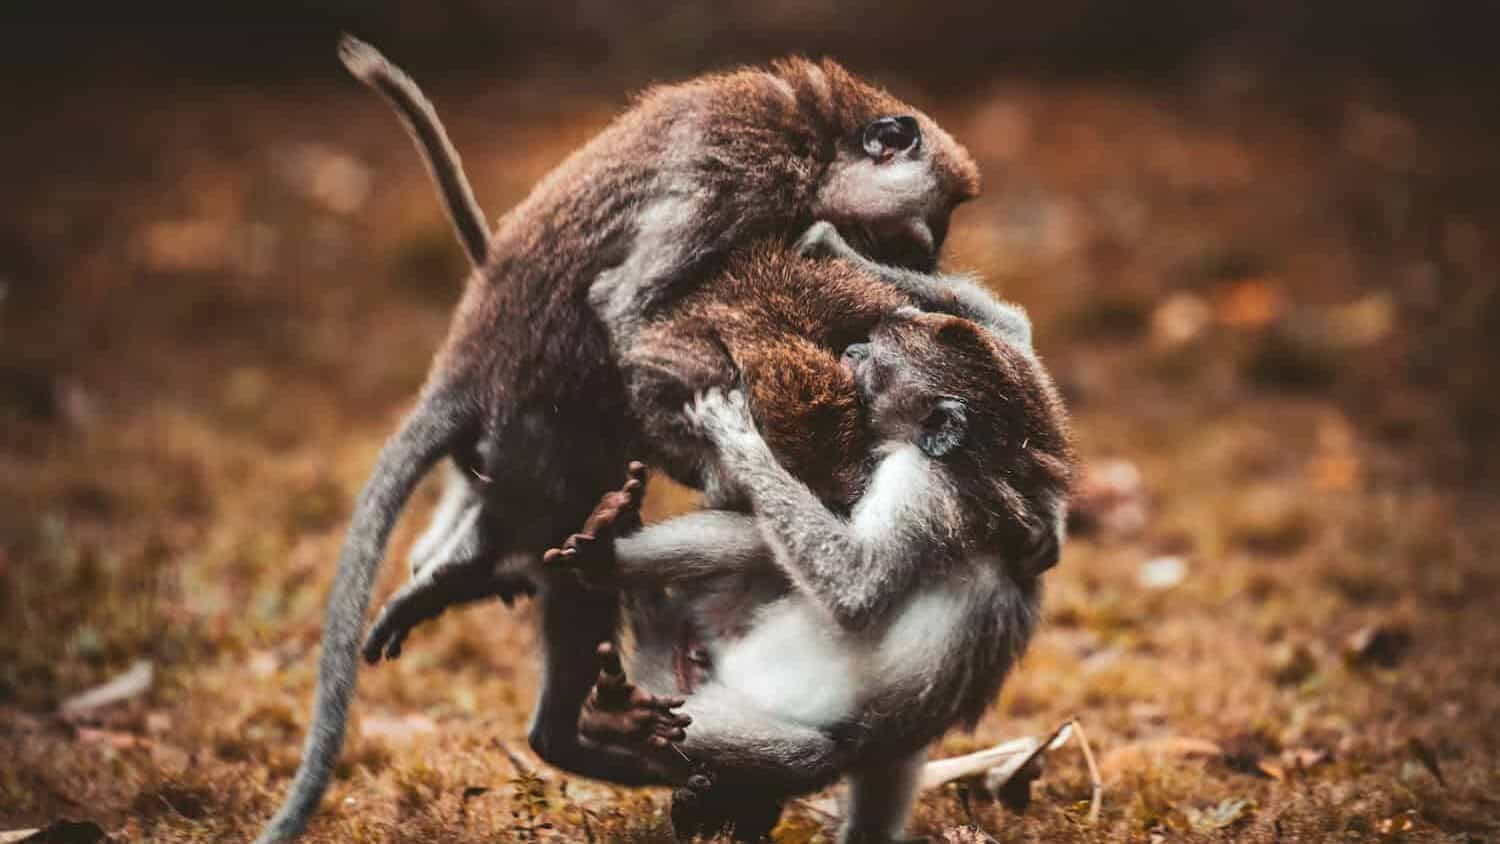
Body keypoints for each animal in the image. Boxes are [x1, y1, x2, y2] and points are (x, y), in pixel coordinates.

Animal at [256, 37, 981, 842]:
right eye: (891, 237)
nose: (915, 269)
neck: (814, 137)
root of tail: (469, 365)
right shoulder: (735, 176)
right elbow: (627, 307)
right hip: (544, 435)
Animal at [540, 253, 1074, 841]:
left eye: (877, 361)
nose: (855, 349)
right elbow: (1018, 346)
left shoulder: (921, 484)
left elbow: (857, 586)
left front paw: (739, 437)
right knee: (757, 541)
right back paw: (607, 560)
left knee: (810, 751)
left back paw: (612, 721)